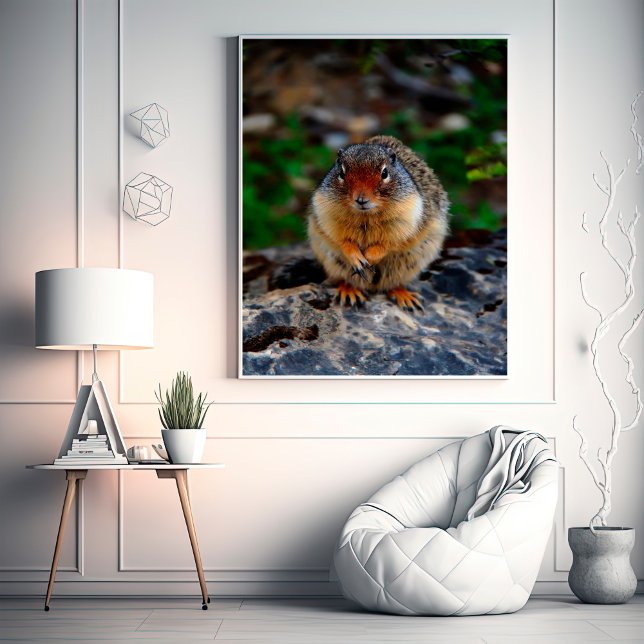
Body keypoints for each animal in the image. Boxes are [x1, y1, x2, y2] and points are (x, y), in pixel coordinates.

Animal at [308, 135, 449, 310]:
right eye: (341, 173)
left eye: (384, 173)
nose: (361, 199)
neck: (366, 216)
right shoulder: (328, 216)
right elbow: (343, 241)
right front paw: (357, 258)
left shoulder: (405, 222)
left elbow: (388, 244)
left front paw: (370, 257)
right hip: (335, 263)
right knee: (347, 279)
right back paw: (350, 293)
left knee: (393, 284)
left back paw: (406, 298)